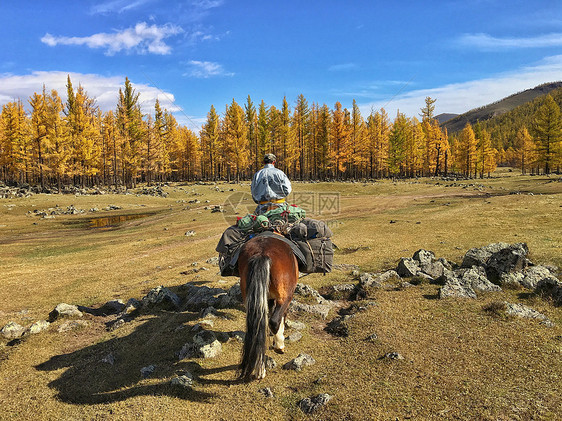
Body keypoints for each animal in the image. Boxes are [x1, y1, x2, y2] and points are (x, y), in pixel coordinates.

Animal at [235, 233, 298, 380]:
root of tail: (261, 253)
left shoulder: (267, 298)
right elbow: (281, 317)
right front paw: (278, 342)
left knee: (259, 326)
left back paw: (260, 370)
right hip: (285, 295)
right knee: (274, 321)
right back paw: (279, 347)